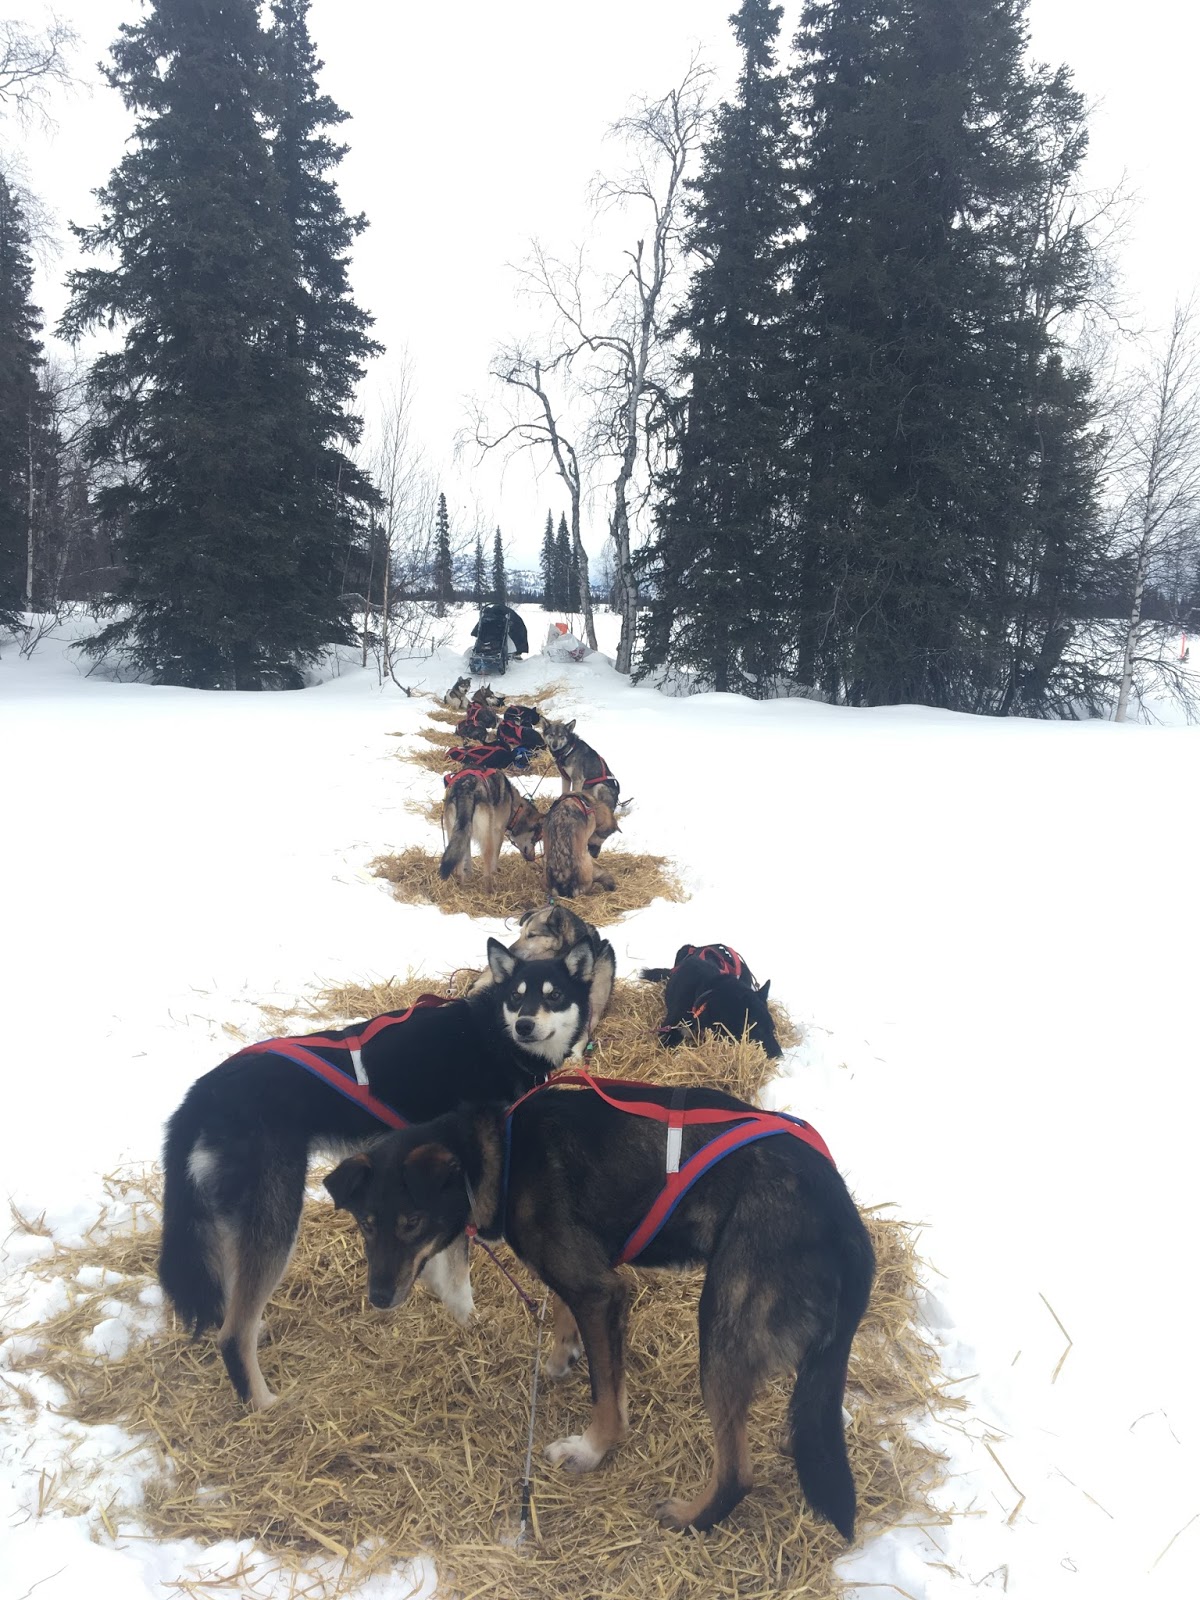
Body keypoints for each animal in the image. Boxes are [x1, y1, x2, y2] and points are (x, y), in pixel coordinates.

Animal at [157, 934, 598, 1414]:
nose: (524, 1026)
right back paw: (266, 1405)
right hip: (276, 1214)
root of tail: (200, 1095)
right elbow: (458, 1269)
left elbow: (442, 1264)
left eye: (552, 995)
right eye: (516, 998)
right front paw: (471, 1320)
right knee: (231, 1333)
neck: (492, 1038)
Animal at [326, 1075, 876, 1536]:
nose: (378, 1297)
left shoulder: (601, 1292)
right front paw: (561, 1354)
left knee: (737, 1470)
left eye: (412, 1222)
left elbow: (605, 1395)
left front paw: (590, 1450)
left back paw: (689, 1518)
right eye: (367, 1224)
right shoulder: (583, 1279)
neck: (503, 1156)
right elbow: (567, 1317)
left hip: (722, 1325)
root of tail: (846, 1221)